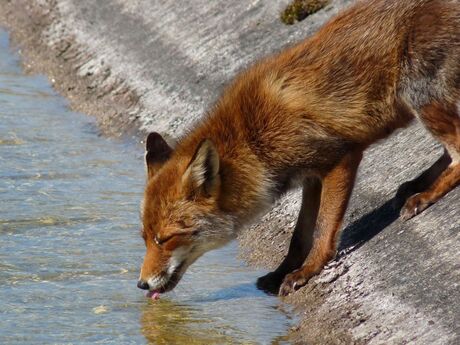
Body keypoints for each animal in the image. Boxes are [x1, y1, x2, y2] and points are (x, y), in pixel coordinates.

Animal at [137, 0, 460, 296]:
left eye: (164, 239)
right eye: (144, 238)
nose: (141, 284)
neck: (252, 141)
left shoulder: (340, 160)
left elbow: (324, 229)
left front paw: (309, 270)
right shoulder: (310, 177)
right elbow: (298, 237)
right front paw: (280, 272)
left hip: (418, 93)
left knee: (457, 153)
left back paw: (424, 195)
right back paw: (415, 184)